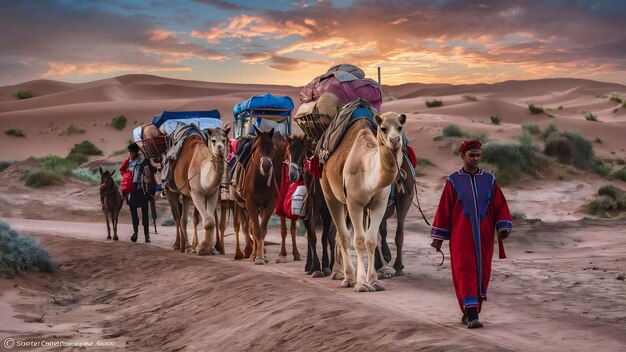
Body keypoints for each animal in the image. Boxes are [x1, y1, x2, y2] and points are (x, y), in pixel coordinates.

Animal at [172, 126, 228, 256]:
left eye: (225, 140)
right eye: (213, 140)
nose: (220, 148)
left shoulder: (212, 194)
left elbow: (211, 220)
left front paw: (208, 248)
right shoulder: (197, 193)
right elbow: (208, 221)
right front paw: (203, 248)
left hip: (186, 194)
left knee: (186, 218)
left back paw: (190, 246)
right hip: (170, 189)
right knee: (177, 217)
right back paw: (182, 246)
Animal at [320, 113, 408, 292]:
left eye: (400, 127)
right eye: (383, 128)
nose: (395, 140)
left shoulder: (379, 205)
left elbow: (371, 240)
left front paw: (374, 281)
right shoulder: (355, 204)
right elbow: (359, 241)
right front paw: (361, 284)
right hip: (329, 191)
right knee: (343, 236)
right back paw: (348, 278)